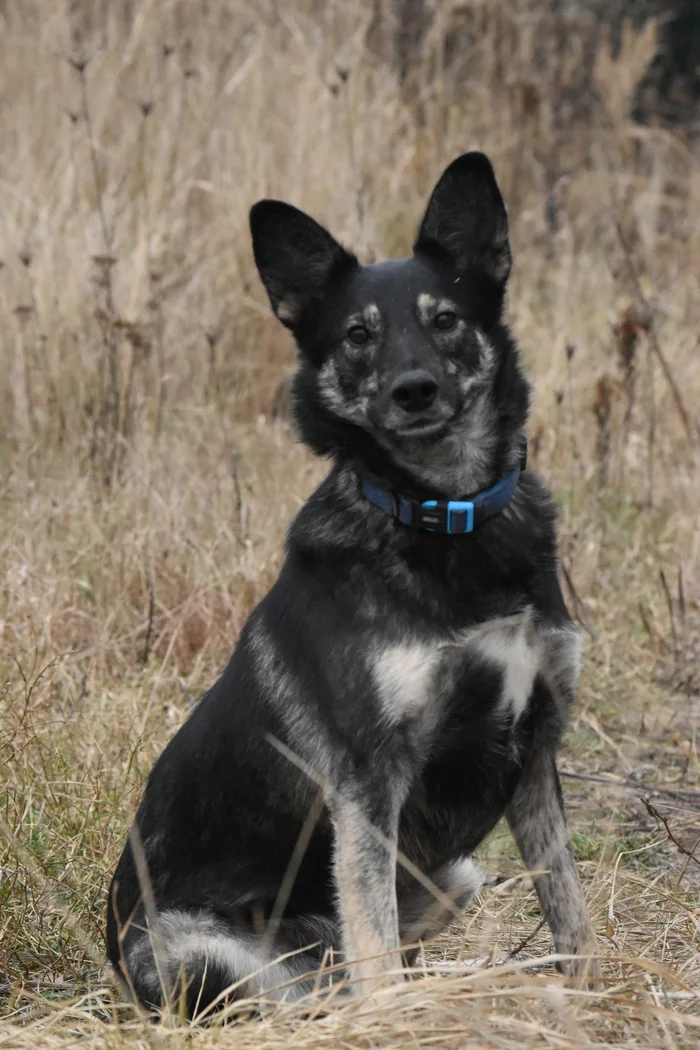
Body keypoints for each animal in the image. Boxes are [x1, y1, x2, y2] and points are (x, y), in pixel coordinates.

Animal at [107, 150, 600, 1016]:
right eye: (358, 336)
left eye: (446, 319)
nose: (414, 390)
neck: (446, 517)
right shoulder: (368, 784)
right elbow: (377, 947)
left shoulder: (538, 752)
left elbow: (569, 908)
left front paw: (594, 996)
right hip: (202, 956)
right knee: (331, 980)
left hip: (455, 876)